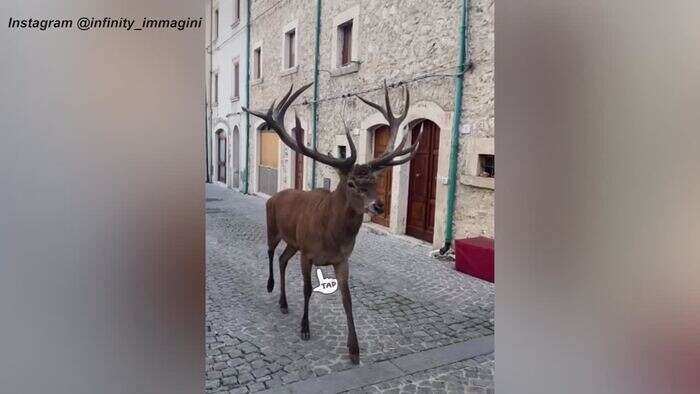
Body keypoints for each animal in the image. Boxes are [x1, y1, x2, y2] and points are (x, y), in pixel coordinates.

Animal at [243, 81, 424, 364]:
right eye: (351, 183)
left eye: (374, 180)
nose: (378, 205)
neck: (331, 234)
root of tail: (274, 195)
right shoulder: (308, 253)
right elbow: (307, 289)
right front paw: (305, 329)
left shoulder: (342, 259)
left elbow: (347, 298)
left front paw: (354, 349)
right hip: (273, 227)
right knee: (271, 253)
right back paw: (271, 287)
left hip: (294, 243)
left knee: (283, 259)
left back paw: (284, 303)